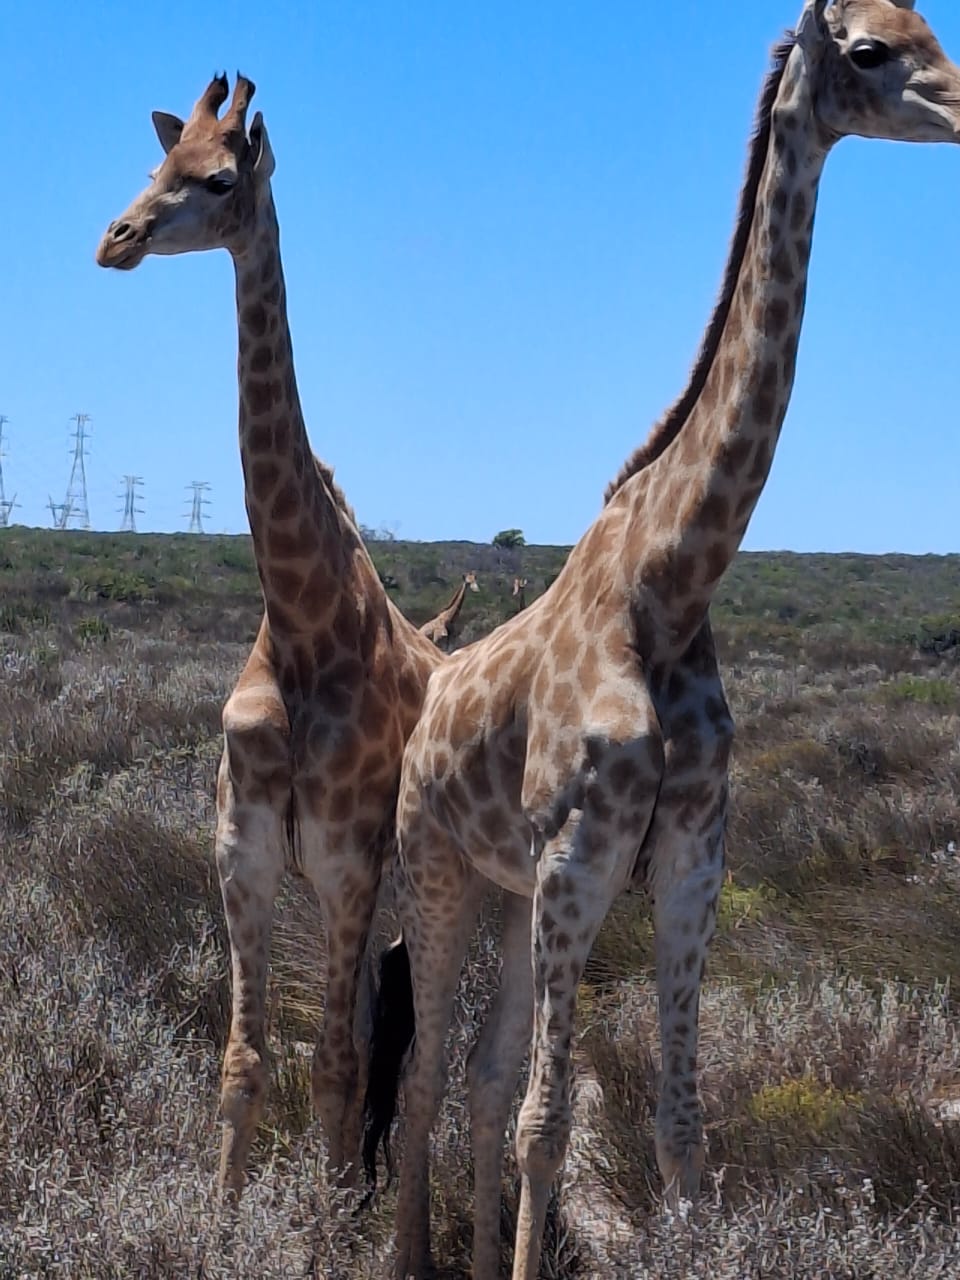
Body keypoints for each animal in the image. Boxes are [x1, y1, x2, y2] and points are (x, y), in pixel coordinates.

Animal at [95, 73, 442, 1197]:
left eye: (217, 179)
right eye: (154, 164)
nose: (114, 238)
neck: (297, 625)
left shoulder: (342, 868)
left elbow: (331, 1068)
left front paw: (330, 1223)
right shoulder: (241, 861)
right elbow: (244, 1058)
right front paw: (219, 1216)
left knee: (408, 1047)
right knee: (377, 1030)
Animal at [361, 4, 960, 1277]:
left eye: (932, 26)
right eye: (874, 50)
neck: (671, 582)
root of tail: (429, 699)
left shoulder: (693, 849)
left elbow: (682, 1125)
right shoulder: (584, 850)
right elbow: (550, 1122)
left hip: (508, 891)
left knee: (479, 1078)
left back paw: (472, 1258)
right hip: (439, 867)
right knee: (432, 1072)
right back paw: (412, 1257)